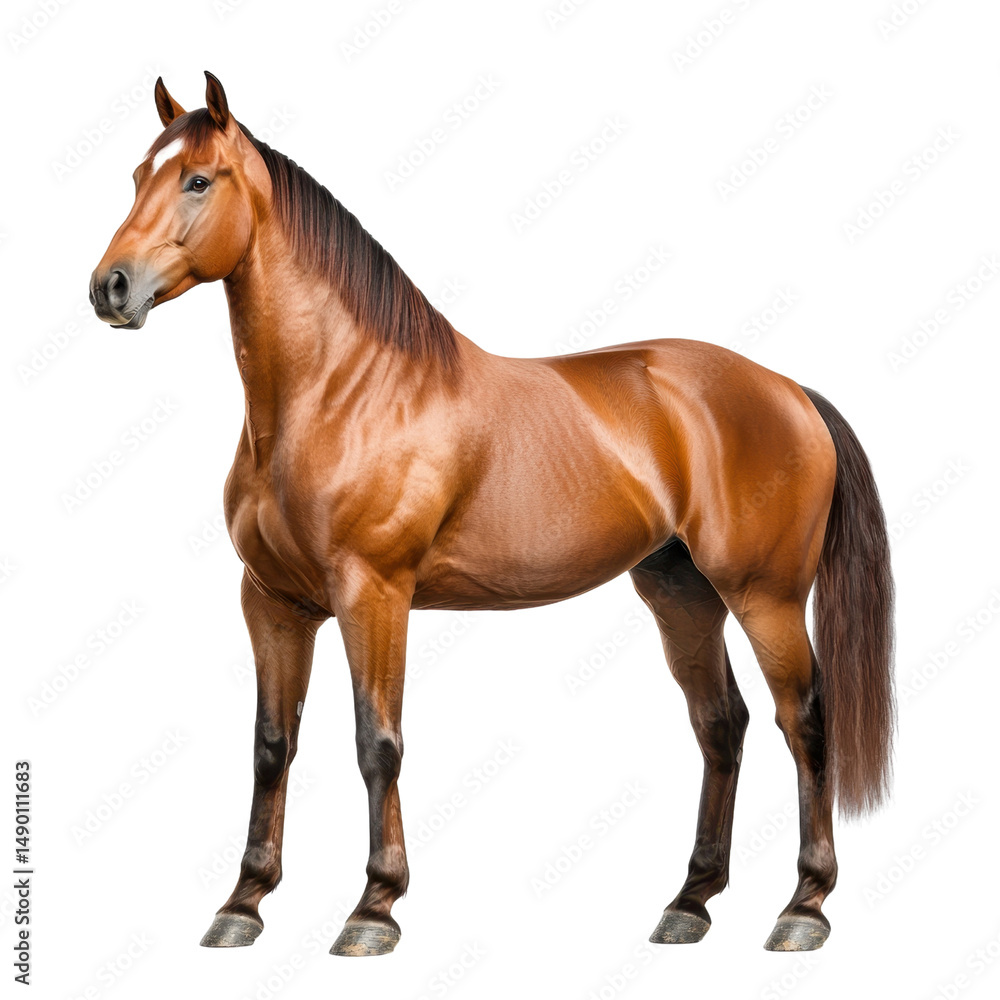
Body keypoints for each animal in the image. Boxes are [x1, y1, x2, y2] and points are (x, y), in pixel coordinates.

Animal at [90, 73, 895, 956]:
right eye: (139, 175)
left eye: (199, 180)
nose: (110, 288)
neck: (341, 391)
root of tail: (789, 390)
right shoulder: (272, 601)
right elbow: (273, 746)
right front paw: (243, 903)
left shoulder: (374, 594)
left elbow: (378, 743)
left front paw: (374, 908)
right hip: (681, 593)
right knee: (722, 725)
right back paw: (690, 902)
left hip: (765, 596)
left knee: (804, 721)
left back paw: (803, 907)